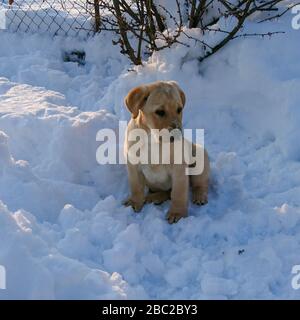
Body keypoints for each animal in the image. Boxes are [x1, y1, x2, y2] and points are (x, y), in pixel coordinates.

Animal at [123, 81, 210, 224]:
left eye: (179, 109)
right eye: (160, 112)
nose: (177, 134)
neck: (153, 140)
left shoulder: (179, 170)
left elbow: (178, 193)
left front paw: (177, 213)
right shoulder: (133, 165)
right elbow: (136, 187)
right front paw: (135, 202)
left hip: (200, 155)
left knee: (199, 184)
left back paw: (199, 196)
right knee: (166, 192)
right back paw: (153, 197)